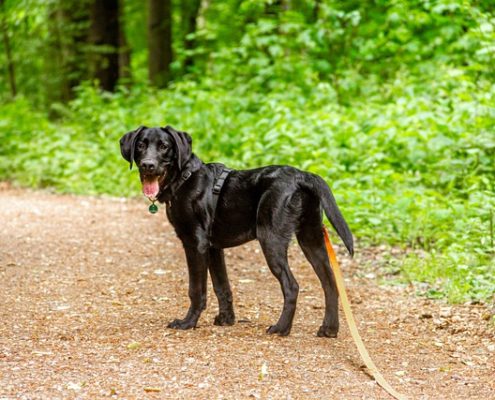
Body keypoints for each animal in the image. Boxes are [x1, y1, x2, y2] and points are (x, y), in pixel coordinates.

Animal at [119, 126, 352, 338]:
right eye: (141, 145)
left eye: (164, 146)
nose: (148, 165)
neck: (184, 178)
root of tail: (302, 176)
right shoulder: (213, 248)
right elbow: (222, 286)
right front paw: (226, 319)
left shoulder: (195, 243)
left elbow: (197, 290)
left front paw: (188, 322)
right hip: (311, 239)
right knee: (330, 284)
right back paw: (329, 329)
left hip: (271, 240)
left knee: (292, 285)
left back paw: (281, 328)